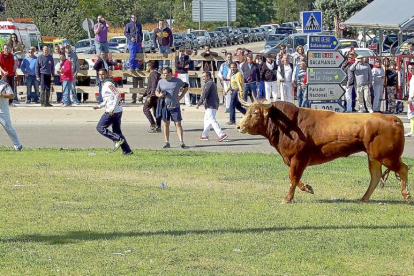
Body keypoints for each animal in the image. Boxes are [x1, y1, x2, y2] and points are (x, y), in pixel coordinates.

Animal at [236, 100, 410, 204]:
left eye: (255, 112)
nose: (239, 126)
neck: (288, 125)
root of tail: (392, 118)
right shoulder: (293, 159)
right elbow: (295, 178)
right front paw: (307, 188)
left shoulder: (299, 158)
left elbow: (293, 177)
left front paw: (288, 198)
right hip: (374, 157)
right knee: (375, 176)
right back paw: (364, 198)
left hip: (386, 156)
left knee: (403, 169)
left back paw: (406, 195)